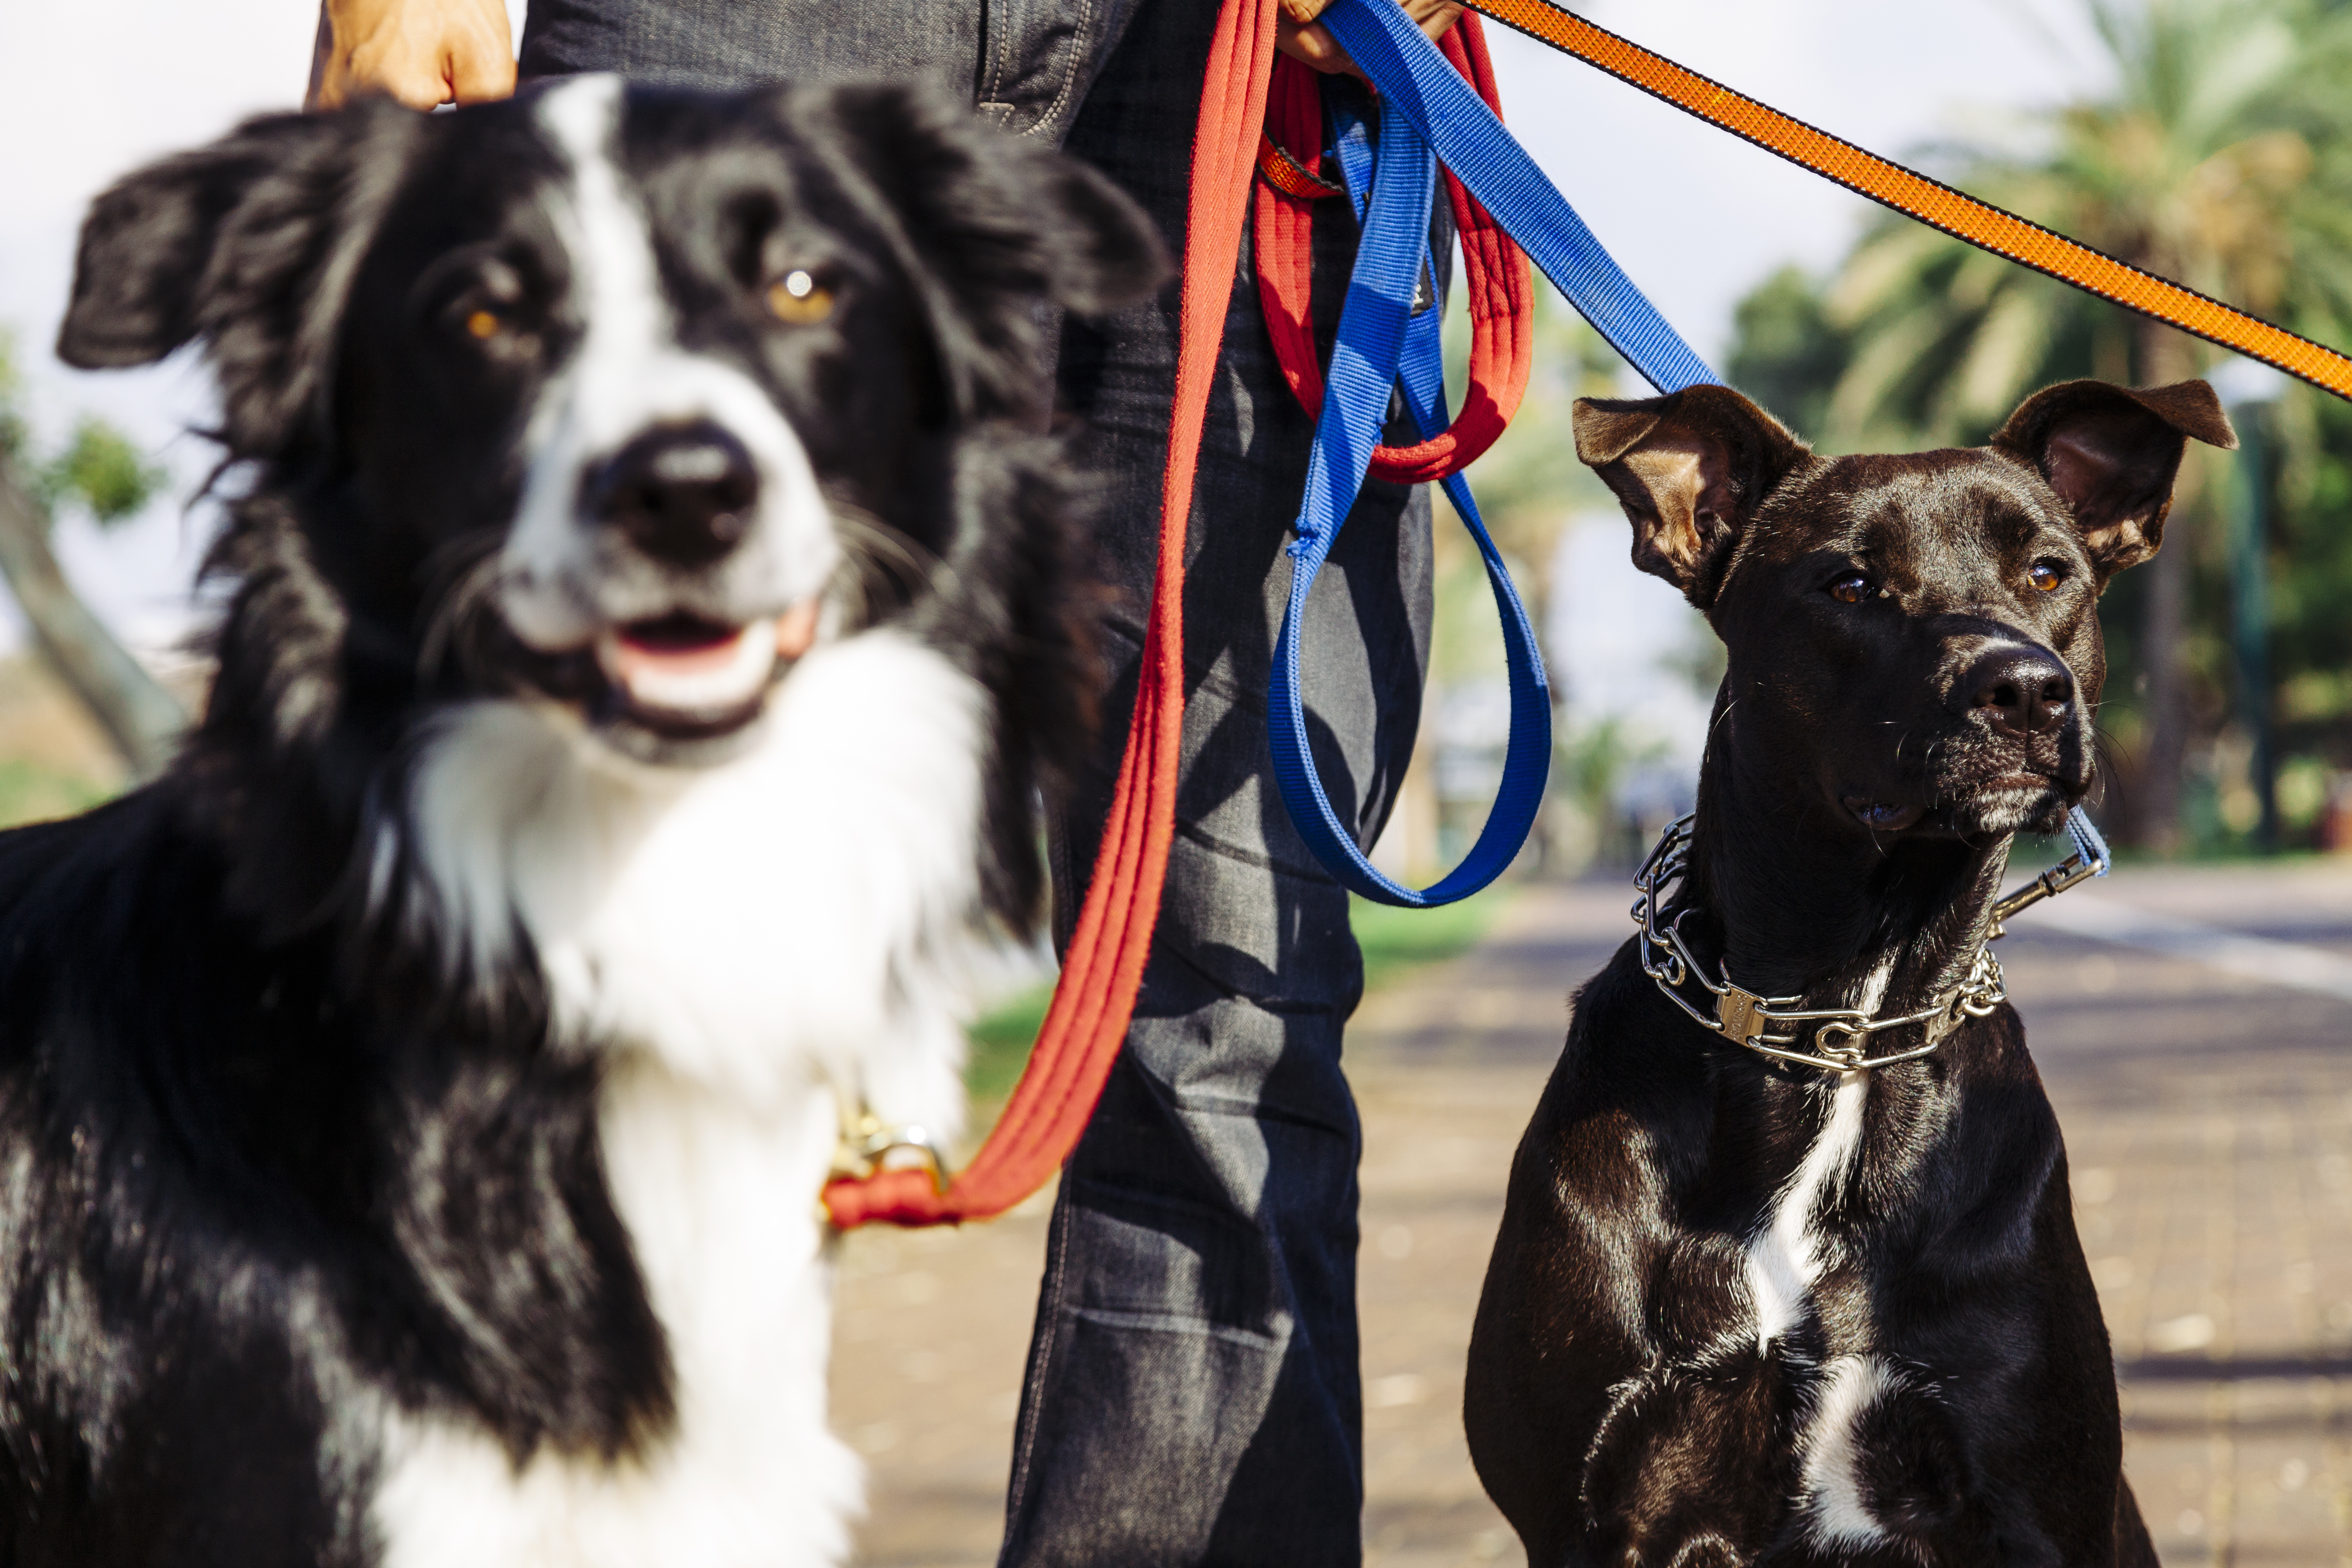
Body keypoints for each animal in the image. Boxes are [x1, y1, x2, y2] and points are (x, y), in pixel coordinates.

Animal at [1458, 383, 2229, 1568]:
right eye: (1850, 584)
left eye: (2047, 572)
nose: (2023, 689)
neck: (1844, 1023)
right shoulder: (1599, 1510)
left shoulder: (2027, 1497)